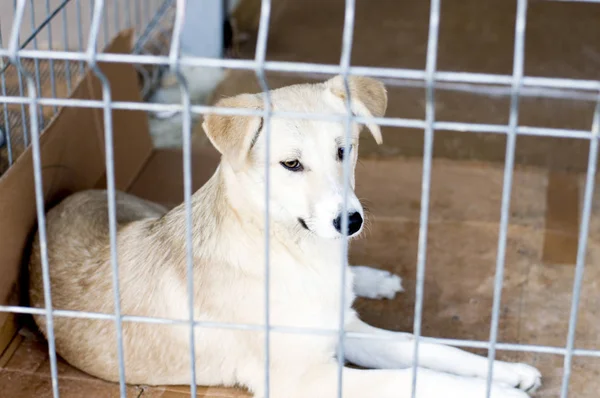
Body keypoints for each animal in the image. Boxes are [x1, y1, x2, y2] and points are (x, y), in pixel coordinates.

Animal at [30, 74, 540, 394]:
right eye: (291, 164)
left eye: (344, 150)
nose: (350, 222)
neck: (293, 255)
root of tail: (56, 203)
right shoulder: (304, 378)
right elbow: (413, 378)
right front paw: (501, 393)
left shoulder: (347, 330)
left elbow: (430, 349)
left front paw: (506, 372)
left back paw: (371, 278)